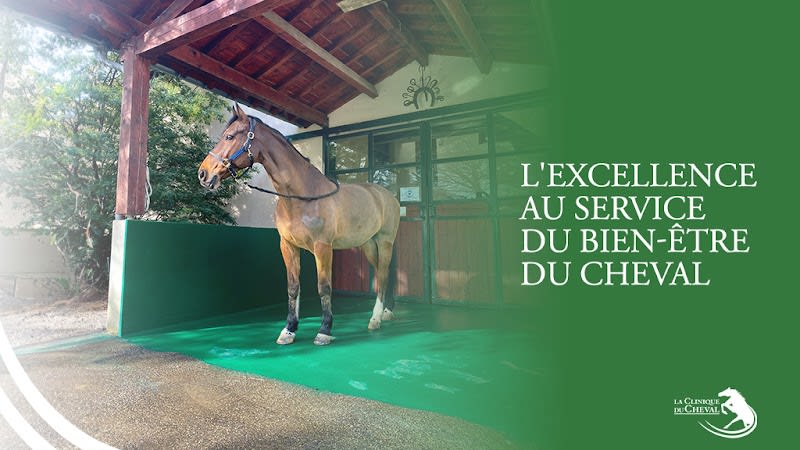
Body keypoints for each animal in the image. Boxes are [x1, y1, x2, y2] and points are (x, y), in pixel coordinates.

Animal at [198, 104, 400, 346]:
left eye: (229, 136)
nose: (203, 174)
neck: (302, 195)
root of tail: (388, 196)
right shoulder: (288, 246)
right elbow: (293, 287)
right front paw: (289, 329)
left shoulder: (323, 248)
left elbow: (324, 287)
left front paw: (324, 330)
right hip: (368, 244)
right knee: (381, 273)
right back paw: (386, 312)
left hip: (384, 241)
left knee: (384, 274)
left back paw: (376, 318)